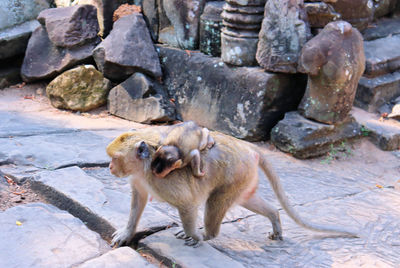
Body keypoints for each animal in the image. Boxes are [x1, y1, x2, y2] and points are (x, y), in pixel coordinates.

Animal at [107, 125, 356, 247]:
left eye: (115, 158)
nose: (109, 168)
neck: (144, 166)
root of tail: (249, 148)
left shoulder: (162, 180)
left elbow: (187, 204)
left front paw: (194, 236)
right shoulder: (140, 179)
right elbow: (138, 199)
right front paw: (127, 232)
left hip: (235, 175)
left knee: (215, 203)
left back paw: (207, 234)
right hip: (244, 178)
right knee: (248, 199)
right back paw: (275, 218)